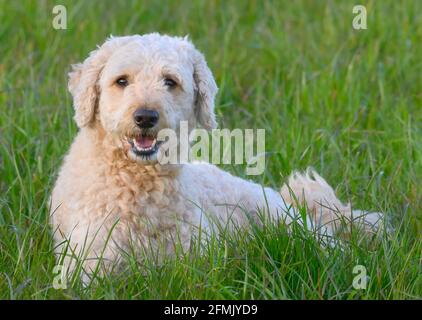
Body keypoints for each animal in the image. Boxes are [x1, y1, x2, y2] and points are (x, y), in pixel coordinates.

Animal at [50, 33, 382, 282]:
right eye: (121, 81)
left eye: (170, 81)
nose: (145, 117)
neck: (138, 184)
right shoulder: (88, 266)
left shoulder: (198, 263)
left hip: (285, 222)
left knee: (328, 244)